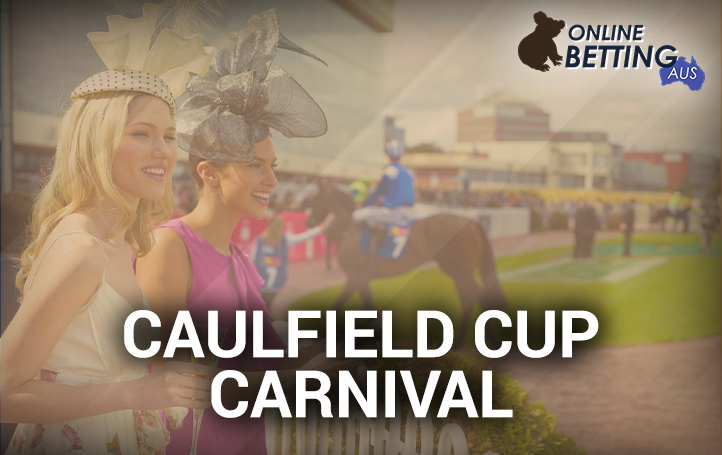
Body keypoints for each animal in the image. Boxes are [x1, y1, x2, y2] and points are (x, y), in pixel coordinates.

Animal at [306, 184, 506, 350]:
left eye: (315, 200)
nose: (309, 222)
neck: (350, 229)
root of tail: (472, 222)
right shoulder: (356, 279)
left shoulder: (357, 277)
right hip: (459, 273)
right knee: (472, 297)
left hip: (460, 271)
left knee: (476, 297)